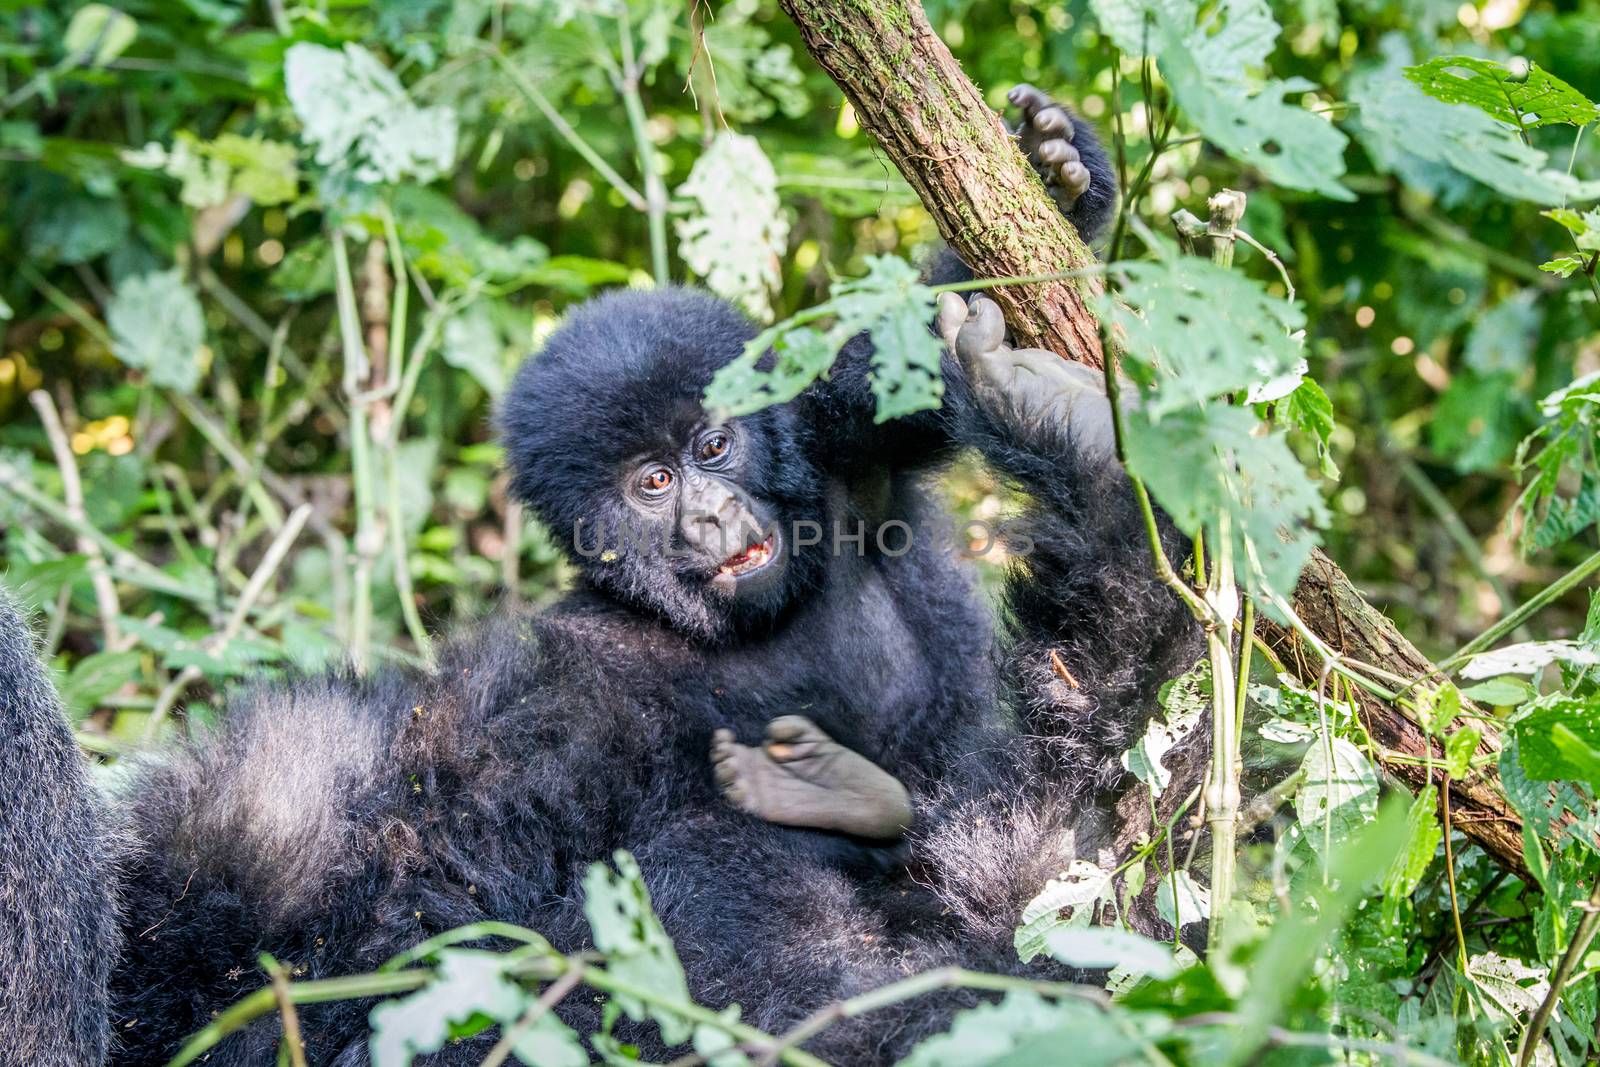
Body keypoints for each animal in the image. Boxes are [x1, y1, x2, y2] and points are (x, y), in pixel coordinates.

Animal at [0, 87, 1203, 1062]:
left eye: (715, 446)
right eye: (652, 482)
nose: (711, 515)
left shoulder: (836, 454)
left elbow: (892, 376)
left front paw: (1061, 177)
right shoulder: (571, 694)